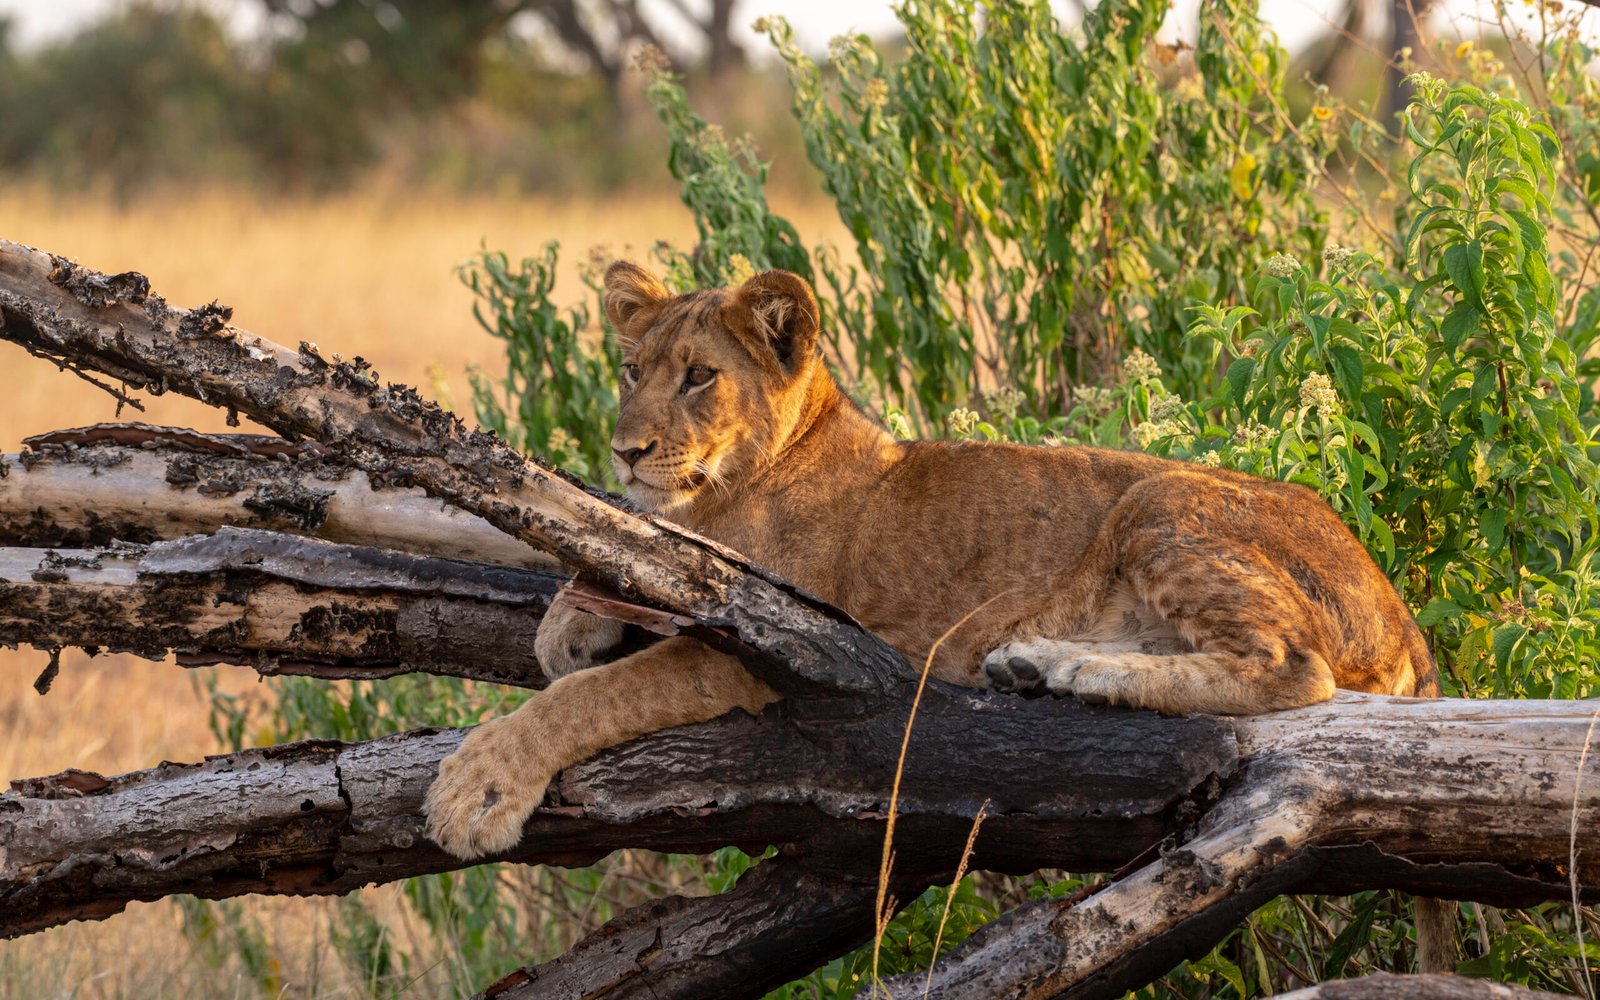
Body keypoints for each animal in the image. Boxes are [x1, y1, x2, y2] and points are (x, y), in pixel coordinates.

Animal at [423, 261, 1451, 965]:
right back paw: (1034, 664)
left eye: (700, 377)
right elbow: (609, 564)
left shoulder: (751, 640)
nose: (626, 450)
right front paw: (571, 620)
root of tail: (1404, 613)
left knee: (1291, 669)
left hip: (1157, 501)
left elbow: (588, 697)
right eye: (632, 369)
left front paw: (478, 790)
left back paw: (1076, 670)